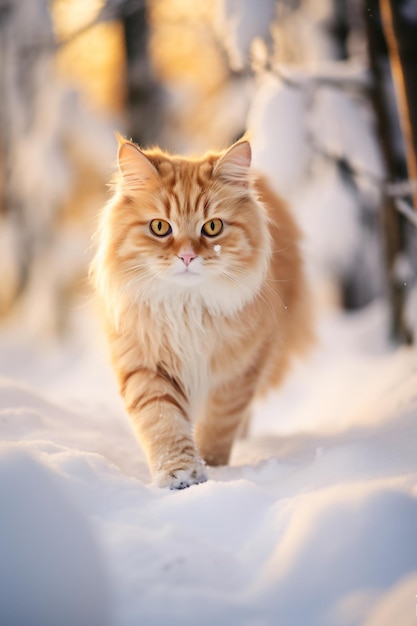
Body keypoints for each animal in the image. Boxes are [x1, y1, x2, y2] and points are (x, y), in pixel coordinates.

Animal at [91, 136, 312, 488]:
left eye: (212, 227)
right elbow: (164, 424)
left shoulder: (239, 371)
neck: (187, 306)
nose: (187, 256)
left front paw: (215, 469)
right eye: (159, 227)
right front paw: (180, 475)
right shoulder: (145, 363)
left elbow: (219, 426)